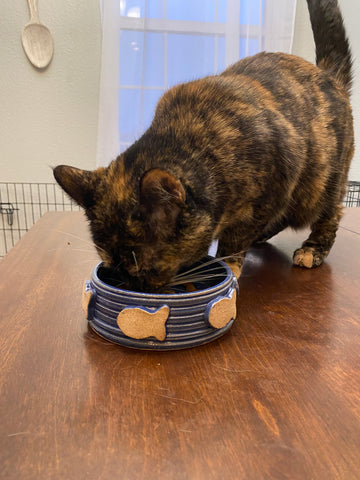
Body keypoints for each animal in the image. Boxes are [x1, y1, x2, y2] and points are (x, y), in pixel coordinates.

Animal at [54, 0, 354, 290]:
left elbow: (237, 235)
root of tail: (328, 75)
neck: (192, 138)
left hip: (320, 185)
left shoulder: (272, 191)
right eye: (112, 266)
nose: (134, 287)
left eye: (146, 269)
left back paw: (312, 249)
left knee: (331, 212)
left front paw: (228, 262)